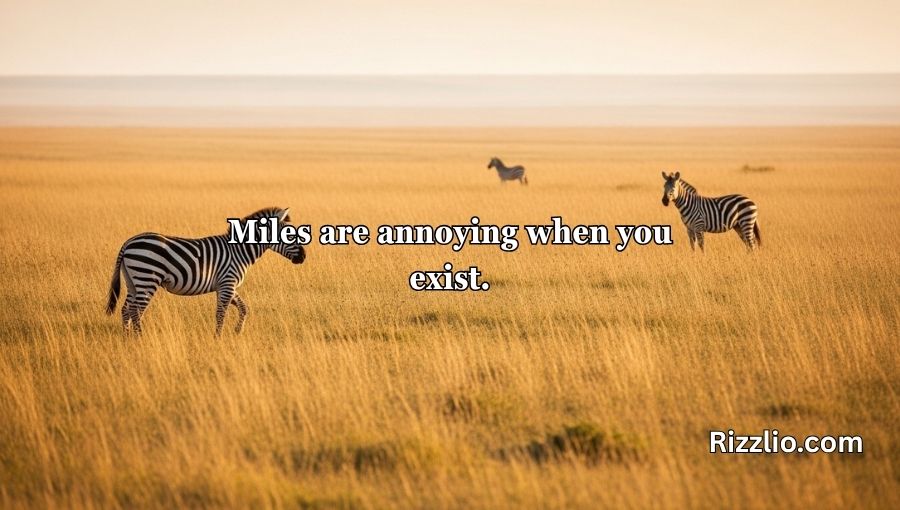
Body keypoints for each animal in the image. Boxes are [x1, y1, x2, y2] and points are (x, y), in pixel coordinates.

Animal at [105, 207, 306, 335]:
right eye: (289, 234)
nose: (304, 257)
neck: (239, 250)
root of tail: (128, 242)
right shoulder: (227, 283)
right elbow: (221, 314)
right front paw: (218, 338)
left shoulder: (227, 285)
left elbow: (243, 308)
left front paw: (237, 331)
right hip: (147, 278)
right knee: (136, 311)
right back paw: (140, 337)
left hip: (133, 280)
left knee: (126, 309)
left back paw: (127, 337)